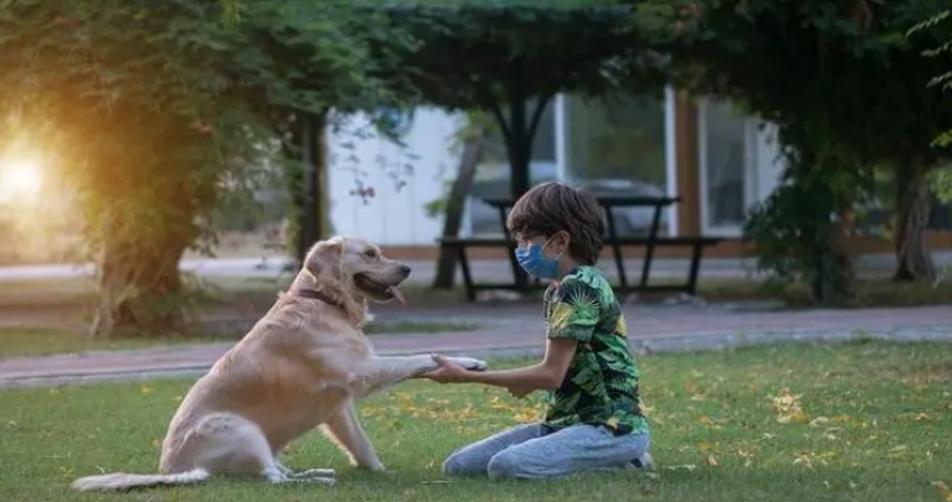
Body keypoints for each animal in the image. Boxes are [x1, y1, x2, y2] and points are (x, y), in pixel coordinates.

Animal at [74, 237, 488, 492]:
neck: (324, 301)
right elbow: (419, 357)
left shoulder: (338, 406)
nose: (406, 269)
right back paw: (315, 481)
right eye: (371, 254)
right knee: (273, 480)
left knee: (277, 473)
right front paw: (465, 361)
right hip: (241, 430)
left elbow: (362, 445)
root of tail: (175, 470)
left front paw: (378, 472)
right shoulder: (361, 372)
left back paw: (313, 472)